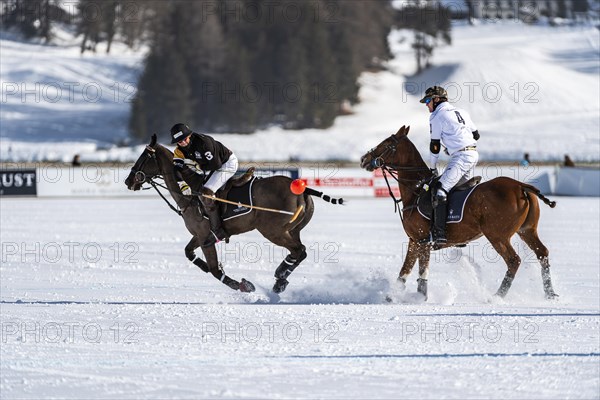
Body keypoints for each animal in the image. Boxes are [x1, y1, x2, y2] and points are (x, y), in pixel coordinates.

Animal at [125, 135, 342, 294]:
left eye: (144, 156)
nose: (128, 181)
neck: (188, 194)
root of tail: (302, 188)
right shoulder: (201, 235)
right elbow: (189, 253)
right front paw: (205, 267)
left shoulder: (205, 237)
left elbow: (214, 270)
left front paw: (245, 285)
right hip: (292, 229)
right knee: (300, 251)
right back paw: (280, 279)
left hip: (272, 230)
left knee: (299, 250)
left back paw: (279, 277)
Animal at [360, 126, 556, 298]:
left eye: (386, 143)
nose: (363, 159)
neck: (416, 190)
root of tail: (521, 186)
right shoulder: (415, 240)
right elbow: (405, 271)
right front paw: (391, 297)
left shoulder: (422, 240)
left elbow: (421, 272)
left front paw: (419, 298)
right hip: (527, 230)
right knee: (542, 253)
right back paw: (550, 294)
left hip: (497, 235)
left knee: (514, 261)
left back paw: (497, 296)